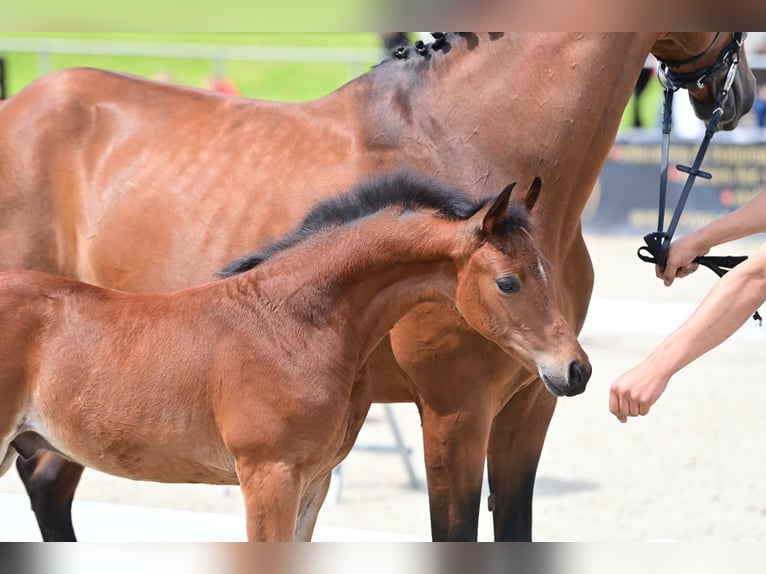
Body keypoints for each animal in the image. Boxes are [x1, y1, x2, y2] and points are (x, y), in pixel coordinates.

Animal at [0, 173, 592, 544]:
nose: (576, 370)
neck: (290, 325)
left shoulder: (315, 481)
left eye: (547, 269)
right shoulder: (268, 476)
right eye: (508, 282)